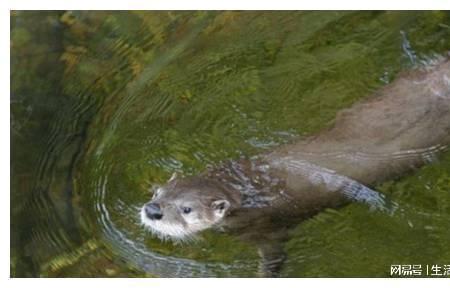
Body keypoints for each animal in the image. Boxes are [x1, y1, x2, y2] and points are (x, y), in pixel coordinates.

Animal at [141, 59, 450, 276]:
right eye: (157, 192)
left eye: (186, 209)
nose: (152, 210)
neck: (244, 191)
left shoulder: (267, 228)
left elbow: (273, 255)